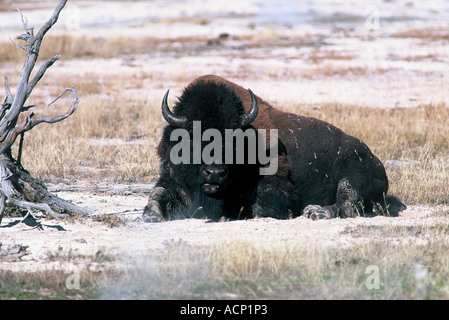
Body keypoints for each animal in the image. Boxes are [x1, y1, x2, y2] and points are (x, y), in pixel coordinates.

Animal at [143, 74, 400, 222]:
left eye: (234, 138)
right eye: (193, 136)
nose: (215, 173)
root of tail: (377, 163)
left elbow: (264, 205)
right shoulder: (172, 181)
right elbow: (156, 195)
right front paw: (150, 216)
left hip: (352, 177)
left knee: (349, 204)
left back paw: (316, 212)